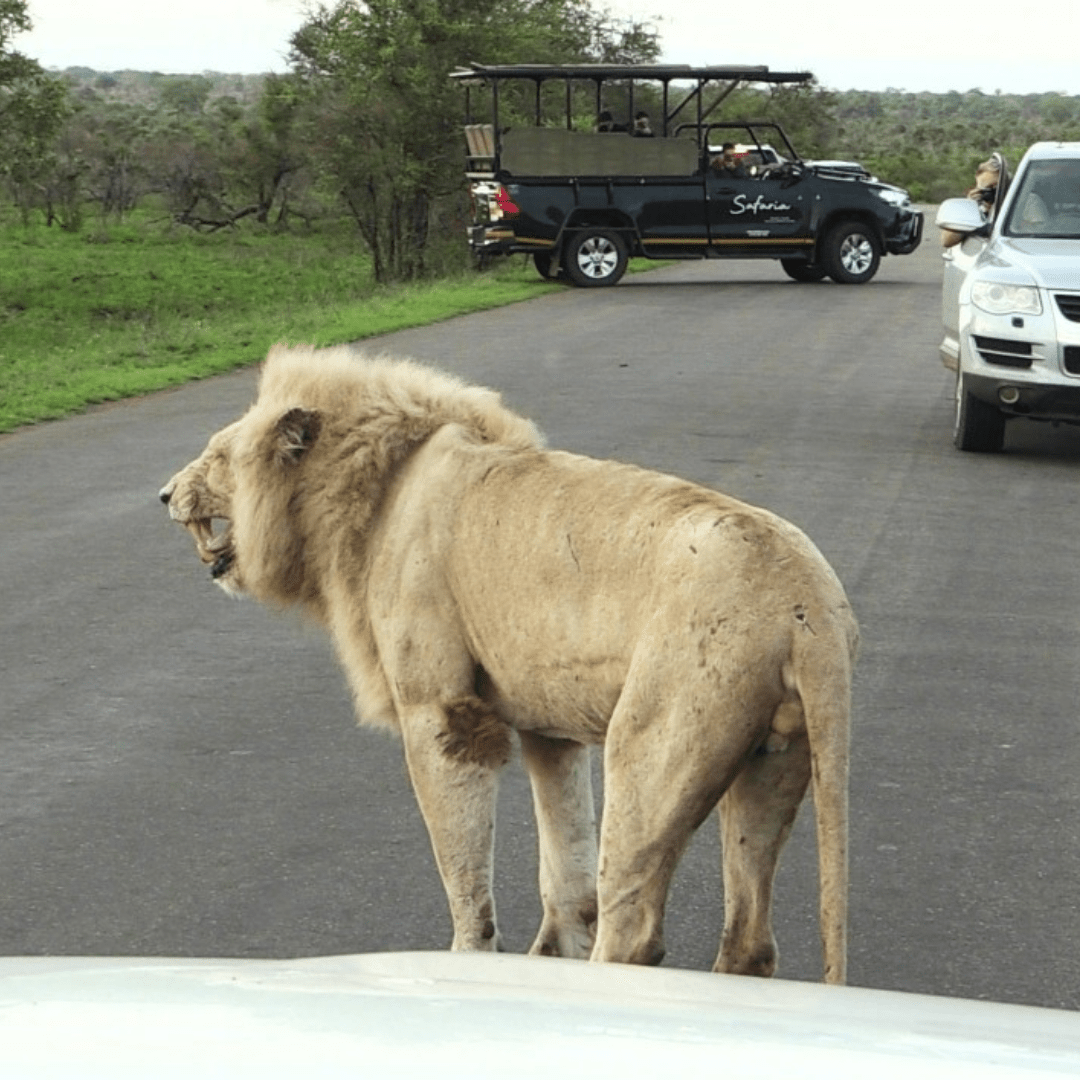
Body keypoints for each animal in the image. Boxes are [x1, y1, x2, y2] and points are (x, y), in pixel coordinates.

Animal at [157, 341, 859, 984]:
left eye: (217, 458)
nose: (163, 494)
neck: (372, 487)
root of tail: (808, 605)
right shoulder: (549, 729)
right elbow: (565, 863)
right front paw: (549, 957)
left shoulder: (442, 713)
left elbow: (465, 874)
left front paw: (470, 962)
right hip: (772, 760)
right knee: (750, 939)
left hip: (652, 748)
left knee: (635, 927)